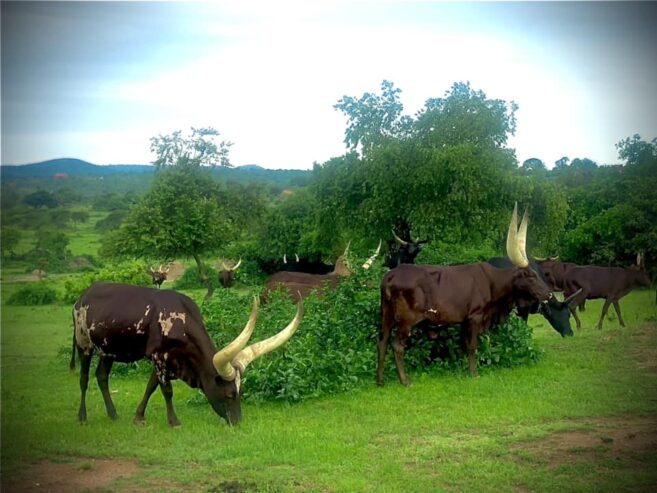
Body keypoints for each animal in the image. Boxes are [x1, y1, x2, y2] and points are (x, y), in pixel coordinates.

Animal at [71, 282, 302, 424]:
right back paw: (82, 416)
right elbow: (166, 390)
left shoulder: (167, 360)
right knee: (83, 379)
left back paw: (113, 415)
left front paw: (138, 417)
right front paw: (173, 421)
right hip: (84, 344)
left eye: (241, 392)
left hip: (107, 350)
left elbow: (151, 386)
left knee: (102, 377)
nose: (237, 422)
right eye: (229, 394)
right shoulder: (159, 357)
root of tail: (81, 297)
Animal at [376, 206, 552, 386]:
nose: (549, 294)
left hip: (386, 314)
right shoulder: (475, 317)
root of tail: (391, 275)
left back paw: (380, 380)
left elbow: (463, 345)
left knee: (382, 342)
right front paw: (474, 373)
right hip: (406, 320)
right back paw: (405, 381)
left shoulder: (463, 320)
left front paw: (463, 369)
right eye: (530, 276)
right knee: (397, 346)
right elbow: (472, 345)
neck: (491, 282)